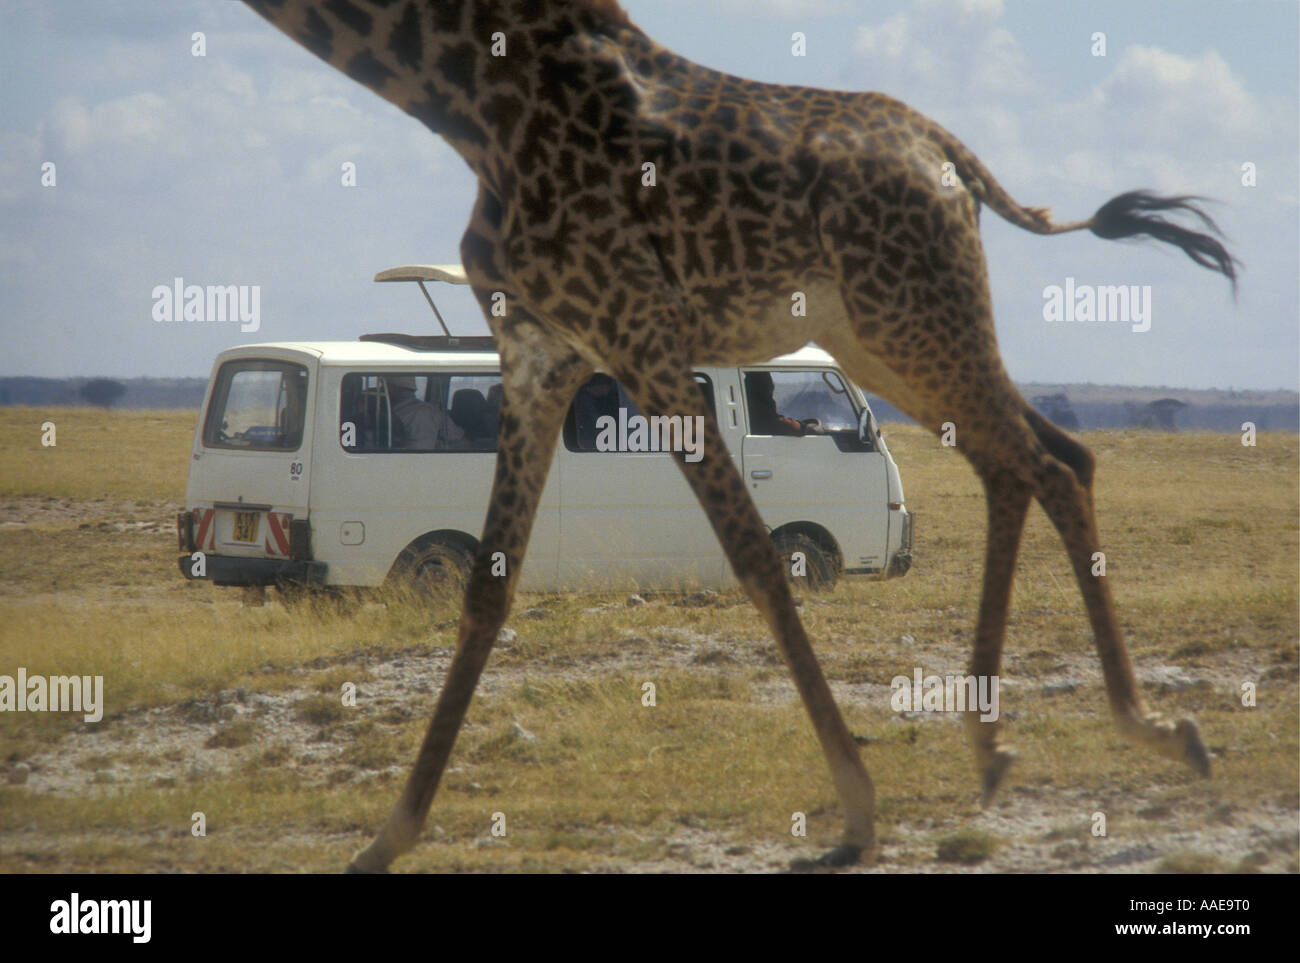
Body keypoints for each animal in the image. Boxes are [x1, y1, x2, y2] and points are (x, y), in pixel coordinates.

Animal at [241, 0, 1227, 873]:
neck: (465, 94)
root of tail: (954, 157)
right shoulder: (540, 348)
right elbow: (487, 587)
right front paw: (385, 838)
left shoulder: (638, 333)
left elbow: (755, 554)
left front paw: (858, 810)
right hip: (878, 332)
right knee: (1042, 456)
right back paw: (1005, 744)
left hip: (912, 313)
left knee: (1047, 461)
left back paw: (1148, 730)